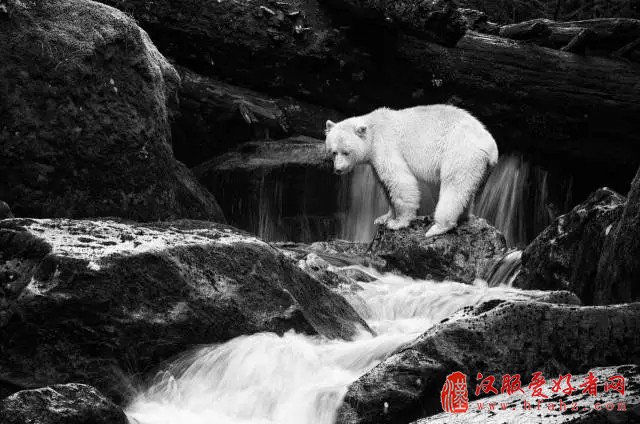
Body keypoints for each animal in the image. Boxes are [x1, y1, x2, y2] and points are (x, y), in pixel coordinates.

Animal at [324, 104, 500, 237]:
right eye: (333, 152)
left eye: (346, 152)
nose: (338, 169)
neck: (373, 129)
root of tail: (491, 146)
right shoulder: (374, 159)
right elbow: (384, 185)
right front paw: (383, 218)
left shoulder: (386, 144)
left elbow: (399, 180)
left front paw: (397, 223)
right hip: (481, 167)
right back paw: (464, 216)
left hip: (461, 151)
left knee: (454, 185)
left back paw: (438, 226)